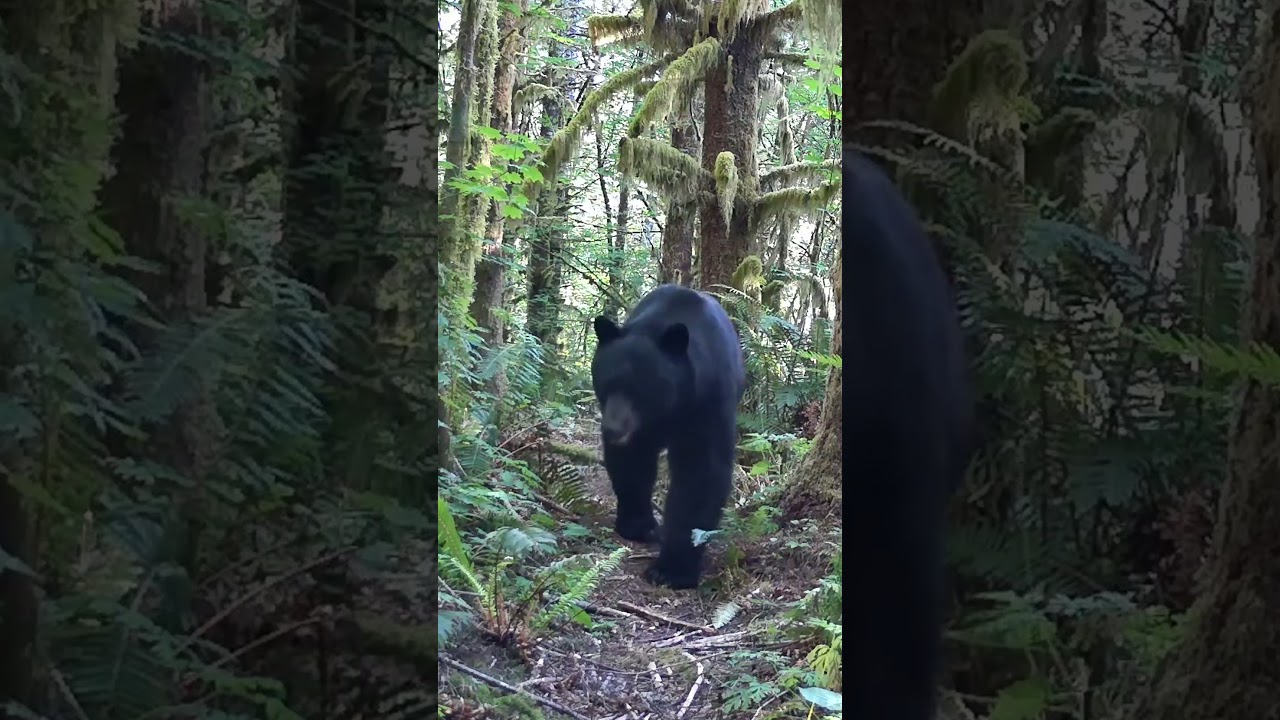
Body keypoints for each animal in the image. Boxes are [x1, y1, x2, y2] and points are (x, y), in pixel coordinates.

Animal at [590, 284, 746, 590]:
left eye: (639, 389)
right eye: (606, 382)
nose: (613, 430)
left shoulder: (707, 403)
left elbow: (701, 473)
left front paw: (671, 569)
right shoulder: (638, 429)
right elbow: (632, 463)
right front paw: (639, 526)